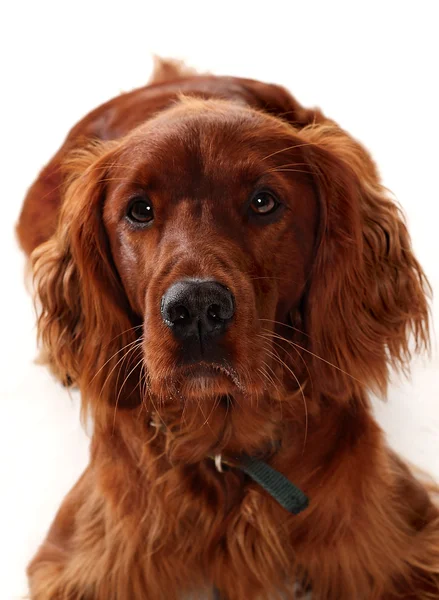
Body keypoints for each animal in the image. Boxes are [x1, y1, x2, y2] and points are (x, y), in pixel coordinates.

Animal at [15, 58, 438, 596]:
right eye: (139, 209)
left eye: (263, 202)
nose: (196, 308)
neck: (226, 443)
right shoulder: (86, 562)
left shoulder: (398, 548)